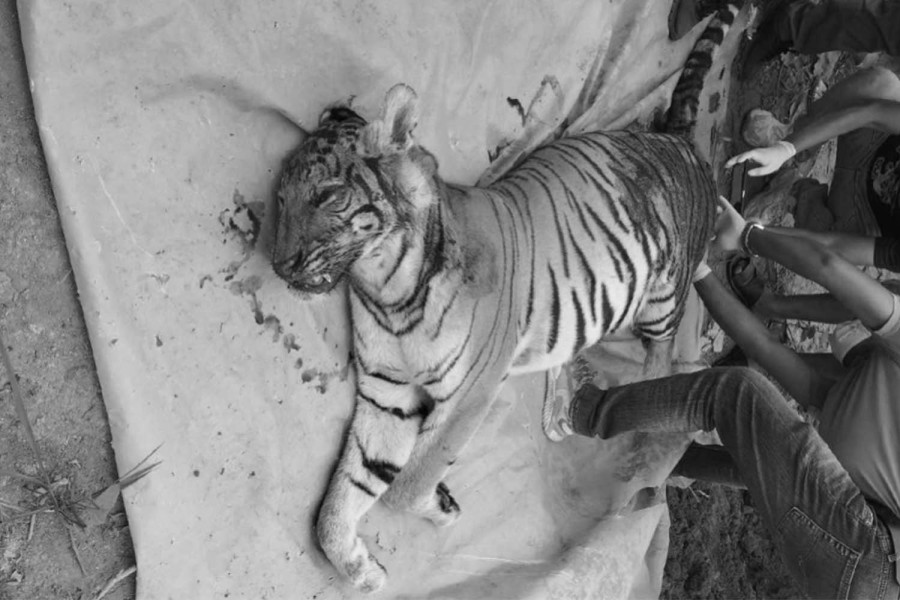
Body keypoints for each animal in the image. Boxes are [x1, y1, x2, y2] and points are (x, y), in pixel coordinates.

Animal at [271, 4, 741, 593]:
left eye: (328, 196)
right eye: (279, 197)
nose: (278, 263)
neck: (386, 289)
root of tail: (678, 140)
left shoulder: (470, 394)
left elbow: (407, 483)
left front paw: (437, 505)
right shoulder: (385, 394)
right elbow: (342, 495)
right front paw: (360, 567)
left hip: (661, 300)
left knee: (659, 356)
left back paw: (636, 431)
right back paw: (559, 406)